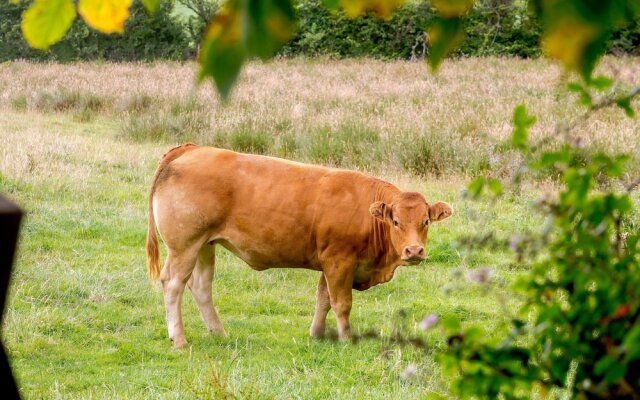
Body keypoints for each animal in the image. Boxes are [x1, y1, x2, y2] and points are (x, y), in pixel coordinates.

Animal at [148, 144, 452, 346]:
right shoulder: (339, 261)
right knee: (173, 284)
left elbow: (323, 299)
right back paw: (179, 340)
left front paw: (316, 334)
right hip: (184, 246)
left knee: (201, 286)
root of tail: (191, 148)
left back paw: (219, 333)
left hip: (204, 245)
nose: (414, 251)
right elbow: (341, 303)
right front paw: (346, 338)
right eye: (396, 222)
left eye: (426, 221)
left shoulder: (331, 264)